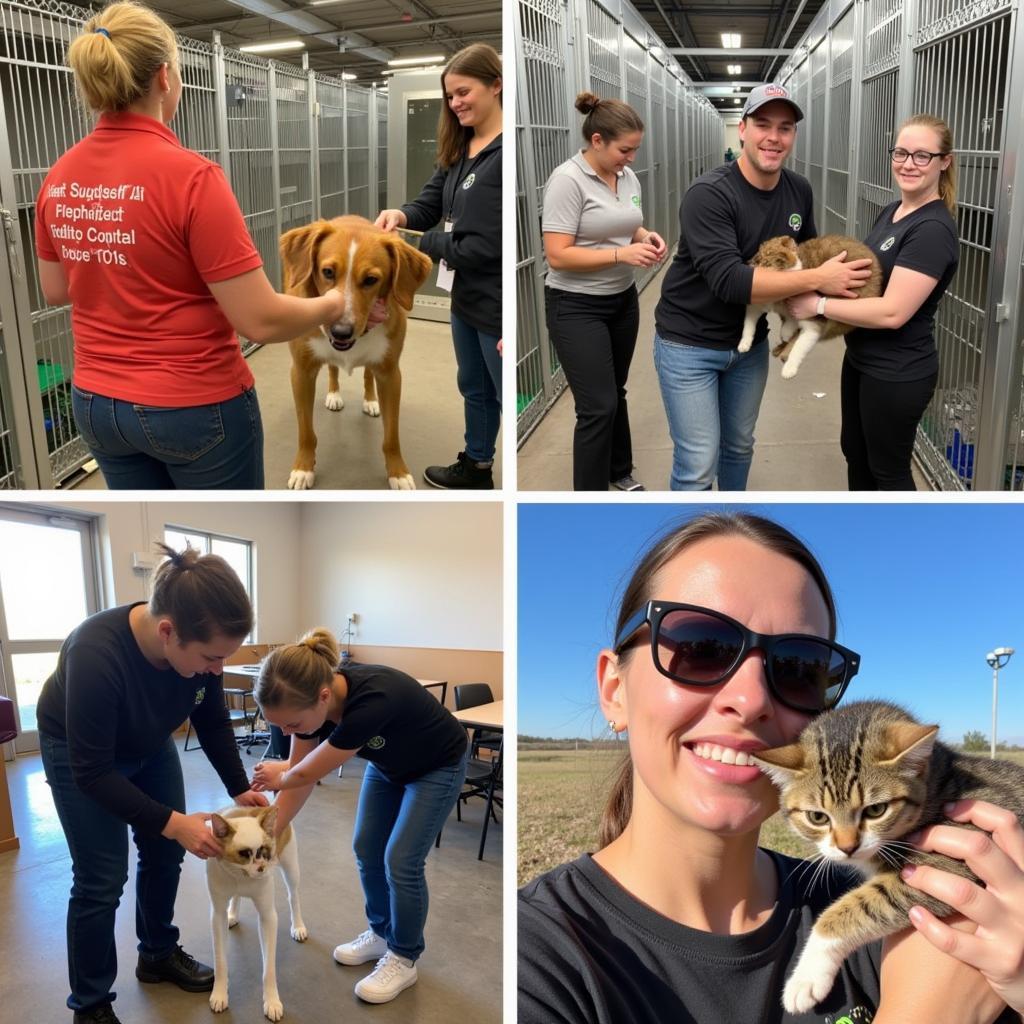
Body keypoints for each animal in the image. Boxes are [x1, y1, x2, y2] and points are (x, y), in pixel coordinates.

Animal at [205, 806, 305, 1024]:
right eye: (244, 853)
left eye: (264, 850)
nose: (262, 869)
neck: (240, 875)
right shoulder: (217, 916)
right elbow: (220, 962)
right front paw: (220, 993)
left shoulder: (268, 918)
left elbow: (269, 970)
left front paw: (272, 1001)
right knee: (236, 897)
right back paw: (233, 914)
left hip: (291, 870)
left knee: (294, 896)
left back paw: (298, 926)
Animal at [278, 214, 430, 489]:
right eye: (327, 272)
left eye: (371, 280)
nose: (341, 331)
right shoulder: (301, 371)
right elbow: (306, 432)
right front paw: (303, 468)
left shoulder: (391, 374)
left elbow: (391, 436)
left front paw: (398, 472)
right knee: (332, 368)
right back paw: (334, 394)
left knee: (367, 374)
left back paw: (370, 400)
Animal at [737, 234, 880, 382]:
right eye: (760, 258)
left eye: (770, 257)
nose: (753, 261)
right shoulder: (756, 305)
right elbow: (748, 325)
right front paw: (744, 344)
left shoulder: (813, 324)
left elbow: (798, 347)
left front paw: (789, 369)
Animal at [753, 696, 1024, 1015]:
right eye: (817, 817)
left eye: (875, 810)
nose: (847, 847)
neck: (938, 787)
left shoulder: (949, 865)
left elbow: (856, 908)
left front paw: (805, 977)